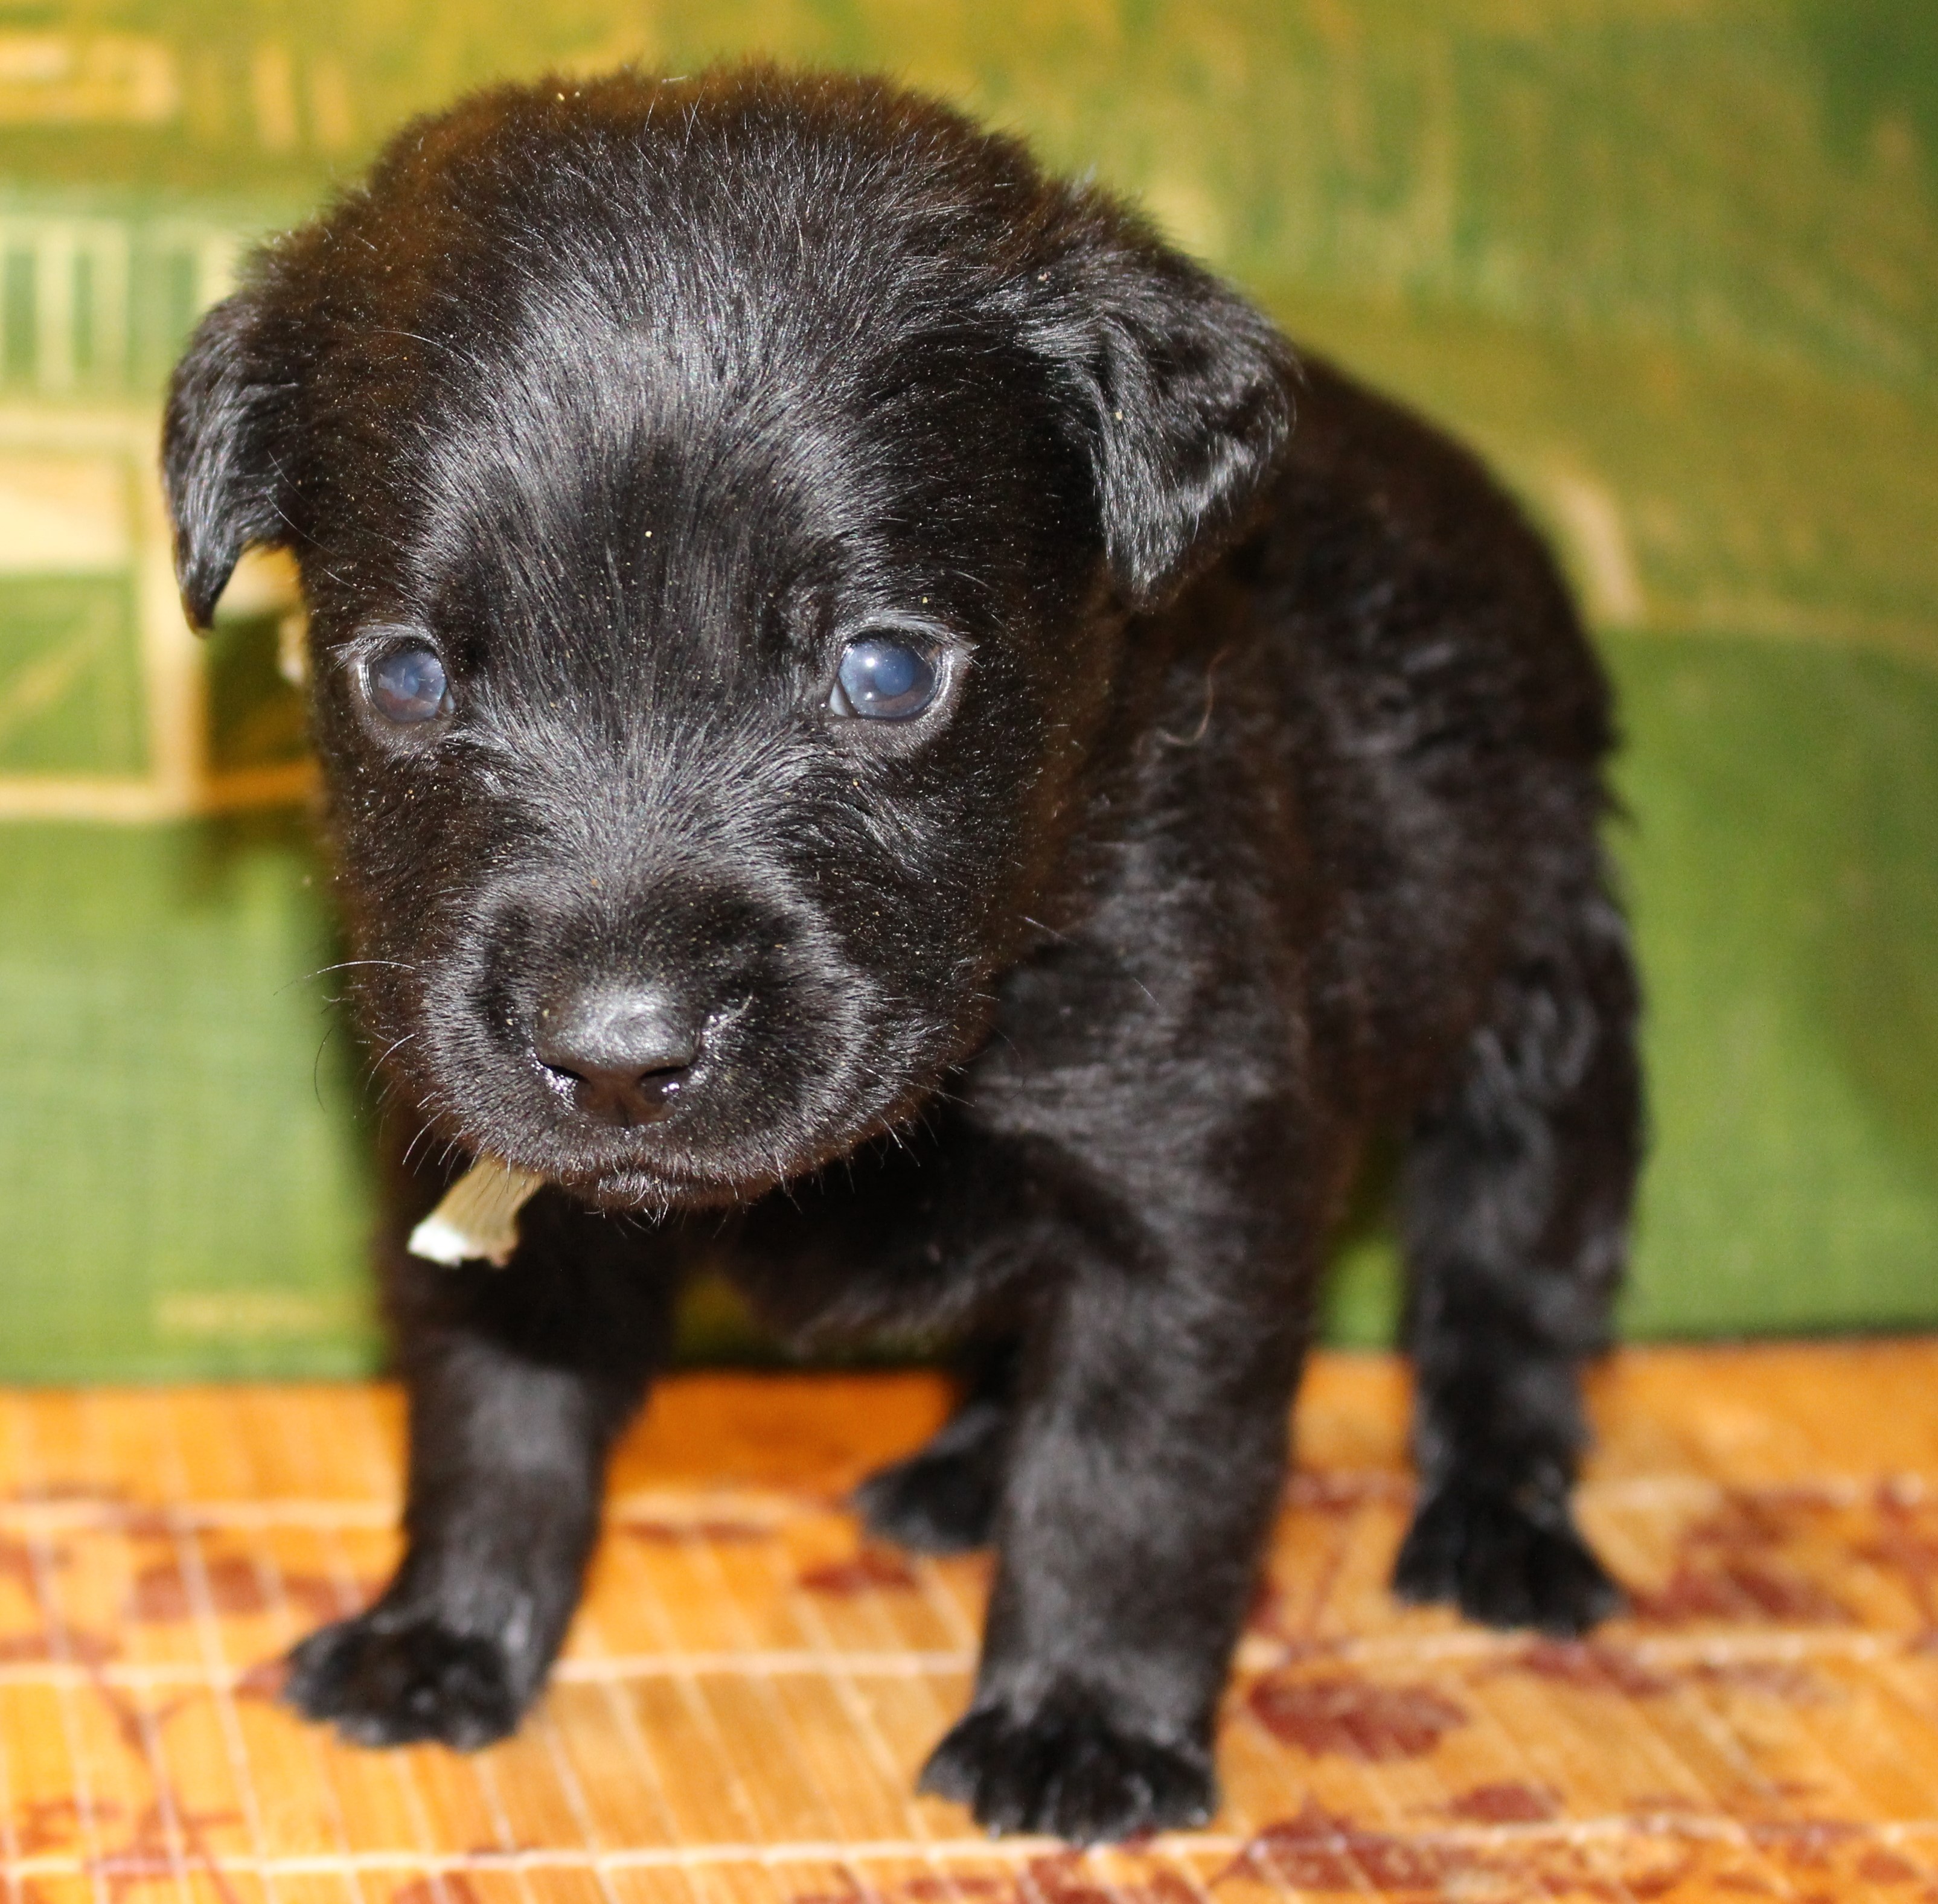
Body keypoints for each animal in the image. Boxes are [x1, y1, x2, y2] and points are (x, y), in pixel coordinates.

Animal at [162, 66, 1636, 1836]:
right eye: (403, 675)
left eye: (884, 670)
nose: (618, 1052)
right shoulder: (491, 1201)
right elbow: (493, 1421)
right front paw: (443, 1631)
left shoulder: (1180, 1195)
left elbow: (1132, 1484)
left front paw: (1079, 1719)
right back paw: (958, 1470)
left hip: (1544, 1012)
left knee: (1510, 1295)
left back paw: (1502, 1525)